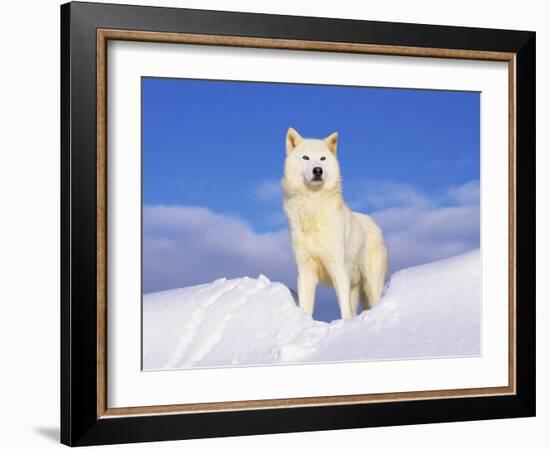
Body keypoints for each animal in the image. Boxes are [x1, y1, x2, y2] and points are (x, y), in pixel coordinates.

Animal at [282, 127, 390, 318]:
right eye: (306, 157)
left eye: (323, 158)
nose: (318, 170)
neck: (313, 209)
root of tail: (374, 224)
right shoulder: (305, 271)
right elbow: (306, 307)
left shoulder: (338, 268)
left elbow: (344, 310)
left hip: (371, 285)